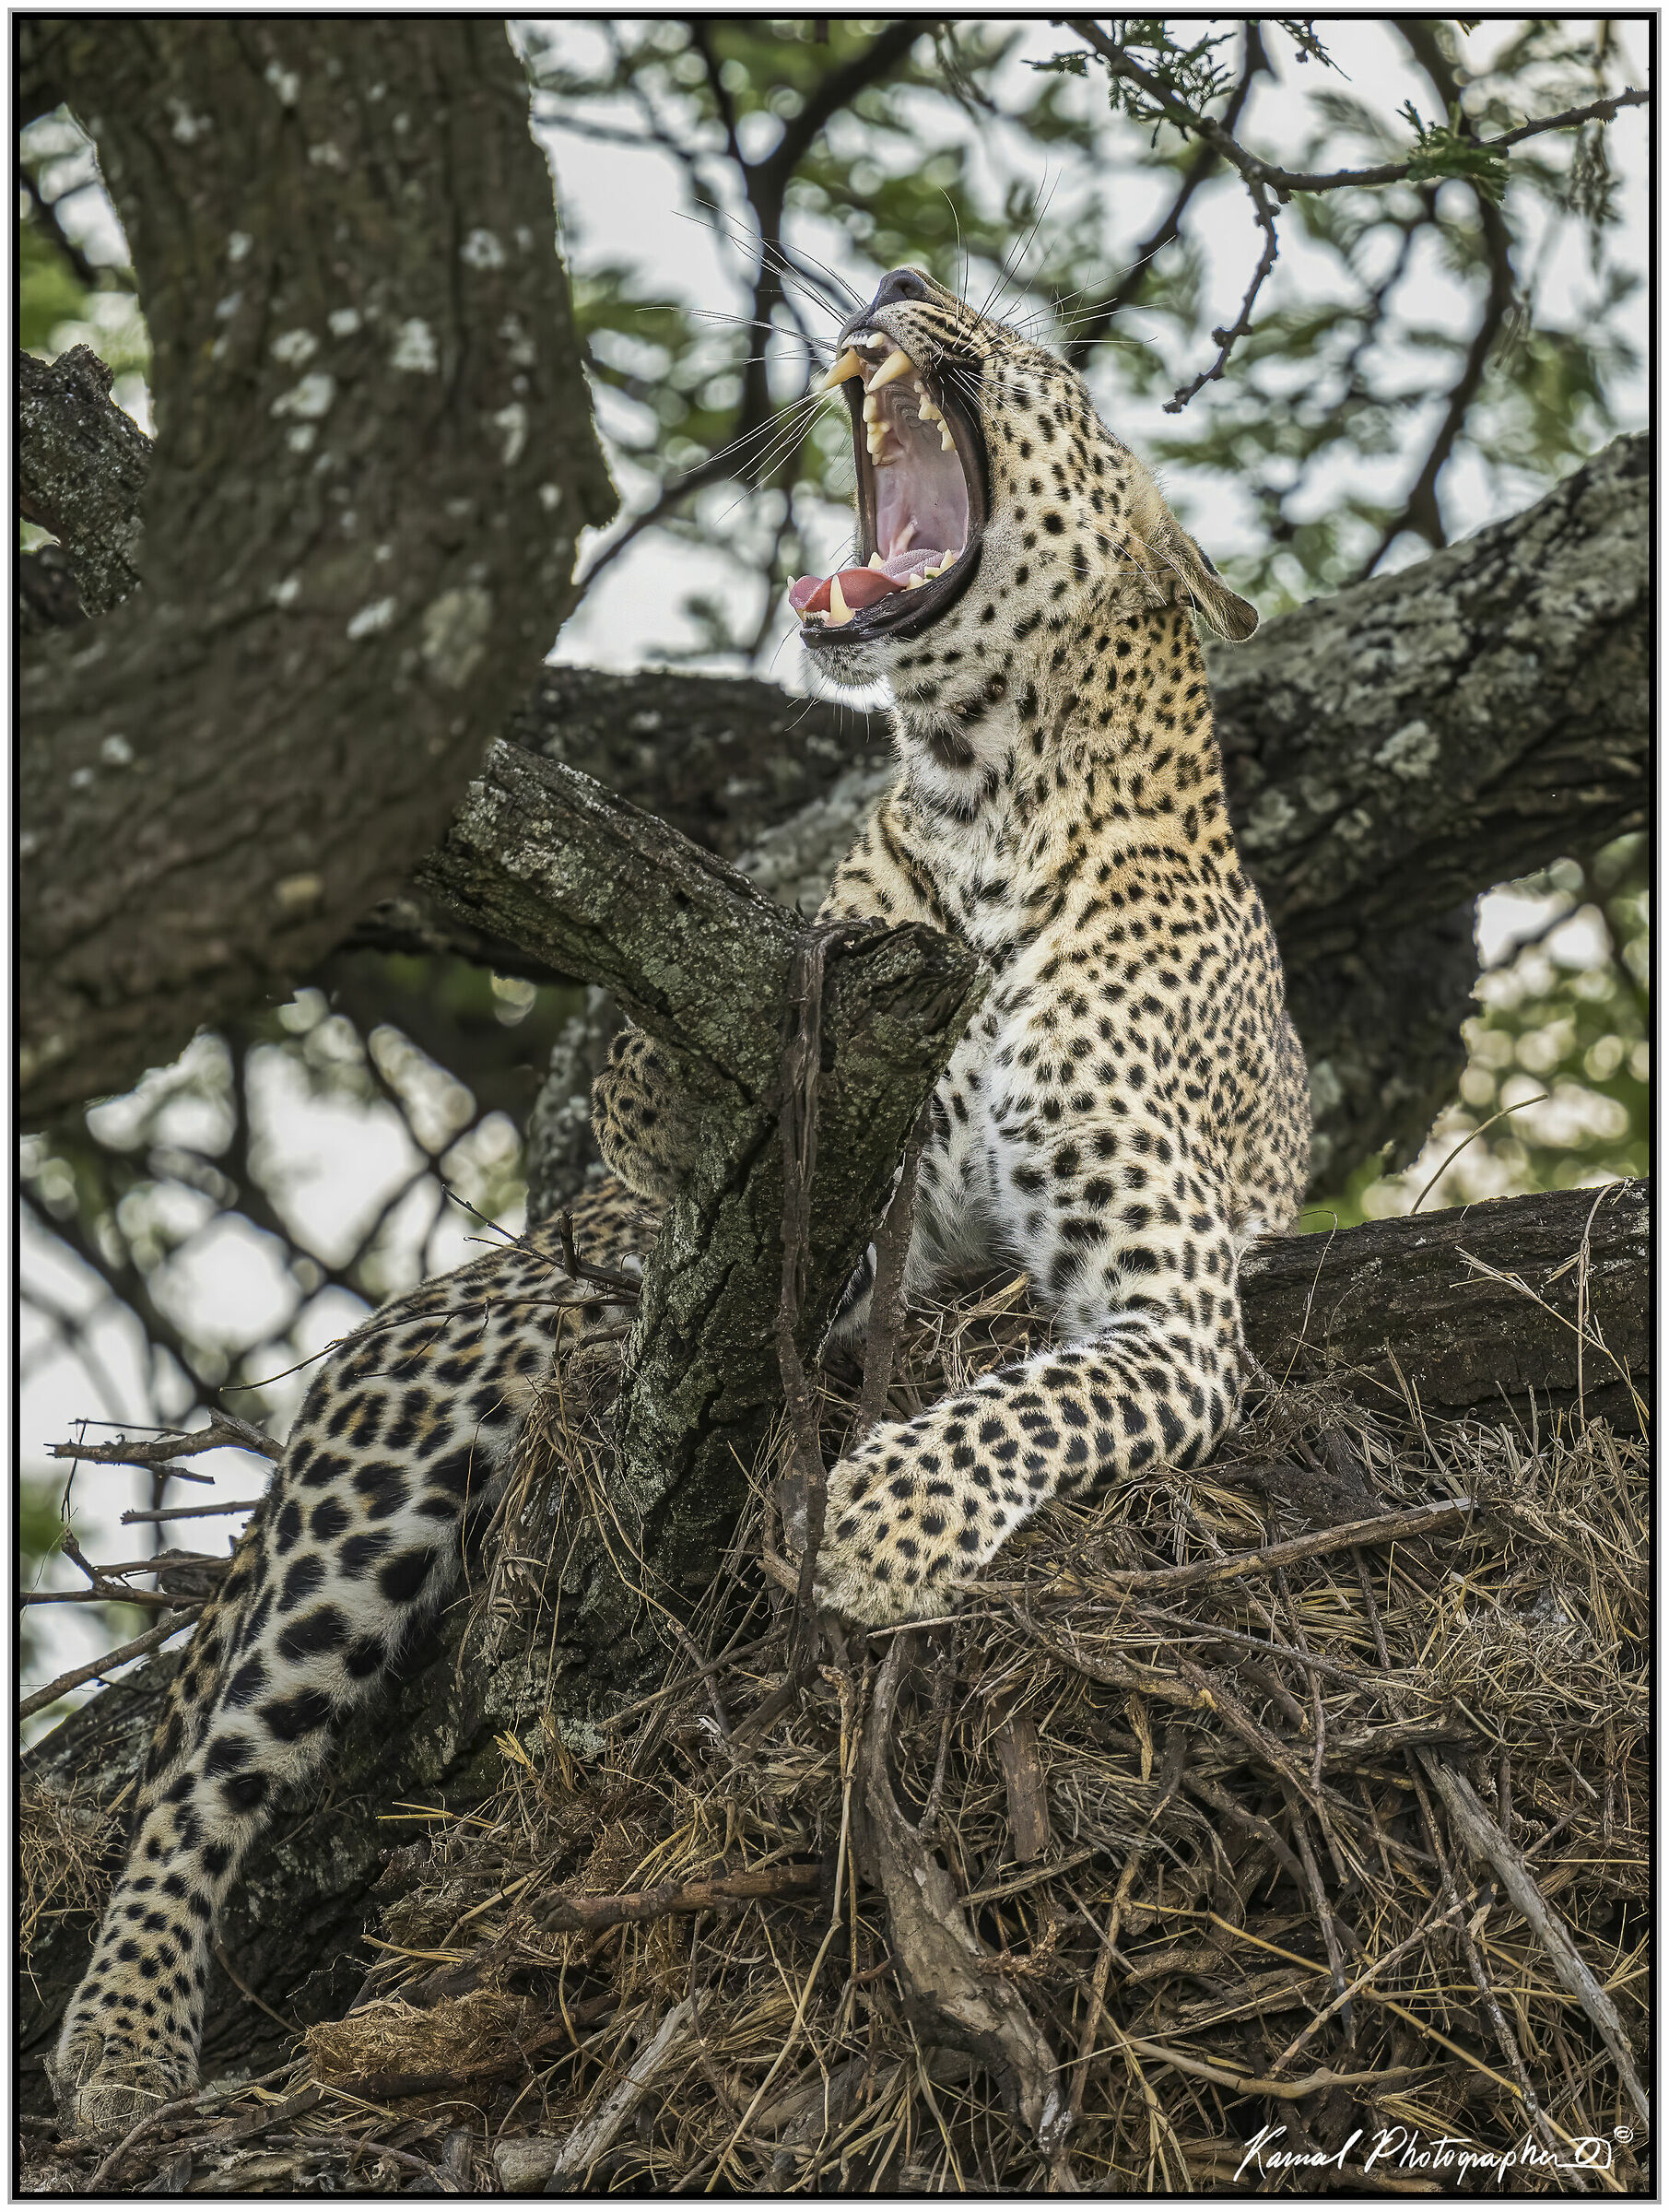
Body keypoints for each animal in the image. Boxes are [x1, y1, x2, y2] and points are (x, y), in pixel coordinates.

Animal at [49, 265, 1309, 2132]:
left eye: (1034, 353)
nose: (896, 283)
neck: (982, 803)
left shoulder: (1172, 1307)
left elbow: (1030, 1398)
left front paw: (872, 1525)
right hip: (425, 1400)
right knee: (212, 1763)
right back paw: (127, 2029)